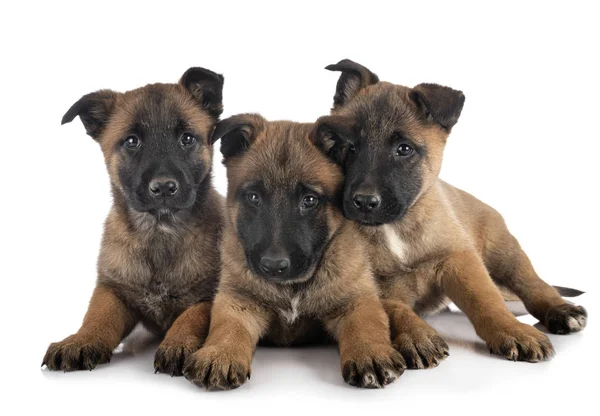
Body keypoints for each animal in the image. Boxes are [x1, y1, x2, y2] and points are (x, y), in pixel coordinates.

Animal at [41, 66, 225, 376]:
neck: (159, 232)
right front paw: (80, 340)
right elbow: (97, 316)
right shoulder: (113, 290)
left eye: (187, 138)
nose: (163, 187)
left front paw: (179, 344)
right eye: (132, 141)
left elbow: (191, 317)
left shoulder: (209, 296)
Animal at [180, 113, 406, 390]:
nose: (274, 266)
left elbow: (366, 325)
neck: (292, 289)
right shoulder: (238, 300)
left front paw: (369, 352)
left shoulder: (356, 300)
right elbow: (227, 328)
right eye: (253, 197)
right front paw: (220, 354)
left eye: (309, 200)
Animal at [316, 59, 588, 368]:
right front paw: (417, 336)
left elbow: (485, 299)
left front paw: (512, 330)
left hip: (505, 252)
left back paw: (561, 309)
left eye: (404, 149)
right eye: (347, 147)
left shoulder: (460, 260)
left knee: (532, 283)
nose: (363, 201)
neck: (396, 228)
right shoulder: (365, 284)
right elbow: (395, 310)